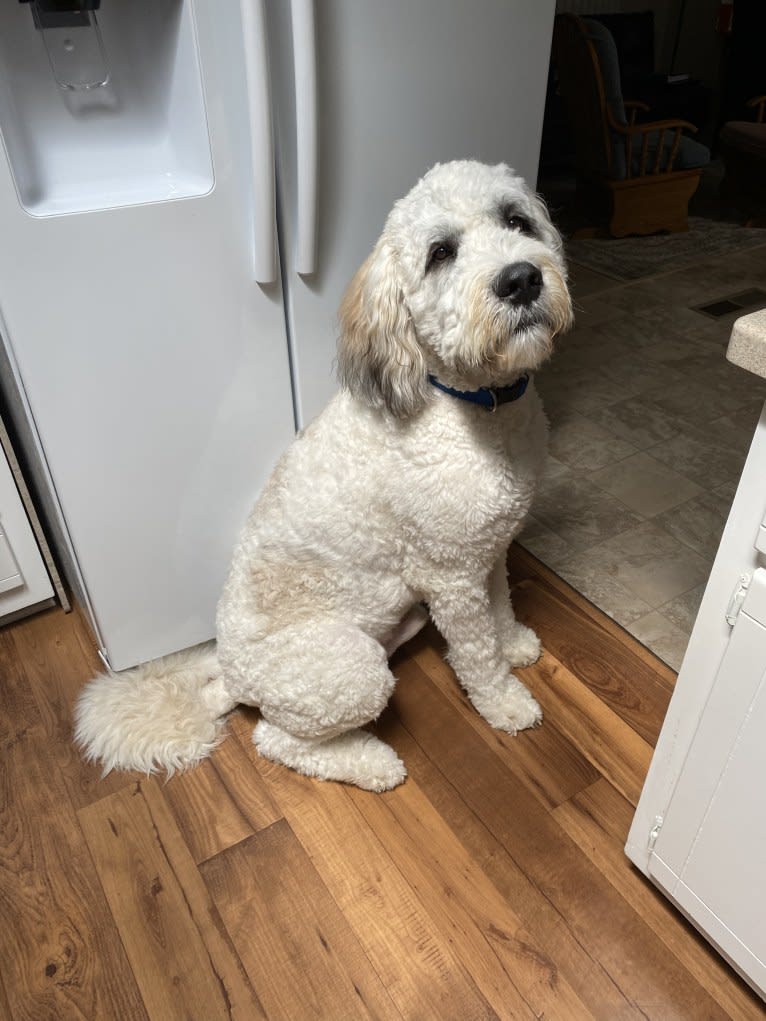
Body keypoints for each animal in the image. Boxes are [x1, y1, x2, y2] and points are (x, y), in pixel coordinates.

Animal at [75, 163, 571, 792]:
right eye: (441, 253)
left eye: (517, 220)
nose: (521, 279)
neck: (478, 407)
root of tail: (231, 678)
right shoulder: (452, 578)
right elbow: (477, 655)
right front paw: (504, 700)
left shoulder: (491, 549)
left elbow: (502, 605)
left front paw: (516, 644)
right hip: (350, 668)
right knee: (276, 739)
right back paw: (373, 763)